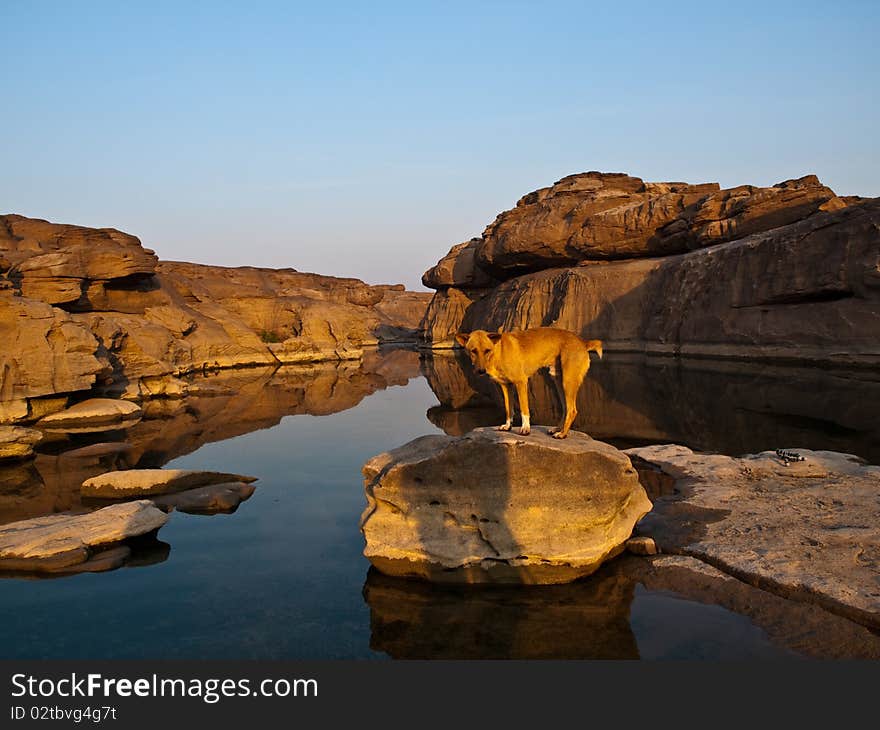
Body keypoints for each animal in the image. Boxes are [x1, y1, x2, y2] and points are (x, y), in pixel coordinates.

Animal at [458, 326, 600, 438]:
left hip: (568, 382)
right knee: (566, 408)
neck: (499, 351)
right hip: (559, 382)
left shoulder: (521, 382)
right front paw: (508, 426)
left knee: (572, 410)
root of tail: (583, 342)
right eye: (473, 351)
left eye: (487, 350)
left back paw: (562, 434)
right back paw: (557, 429)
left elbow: (524, 409)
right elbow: (508, 408)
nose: (481, 371)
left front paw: (525, 428)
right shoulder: (505, 386)